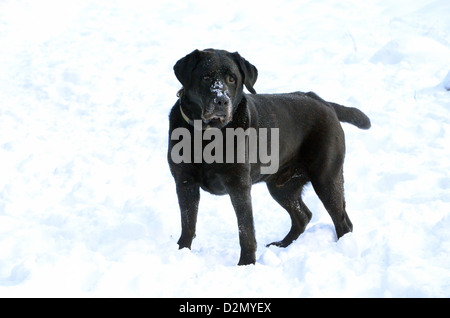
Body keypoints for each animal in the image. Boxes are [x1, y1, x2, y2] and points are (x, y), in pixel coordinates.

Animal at [167, 47, 370, 266]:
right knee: (303, 216)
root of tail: (323, 101)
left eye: (232, 78)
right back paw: (281, 245)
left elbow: (245, 230)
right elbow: (188, 223)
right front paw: (181, 252)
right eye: (205, 77)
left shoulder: (239, 186)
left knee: (341, 220)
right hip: (281, 186)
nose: (221, 100)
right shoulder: (184, 181)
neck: (207, 137)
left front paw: (246, 264)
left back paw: (343, 249)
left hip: (326, 178)